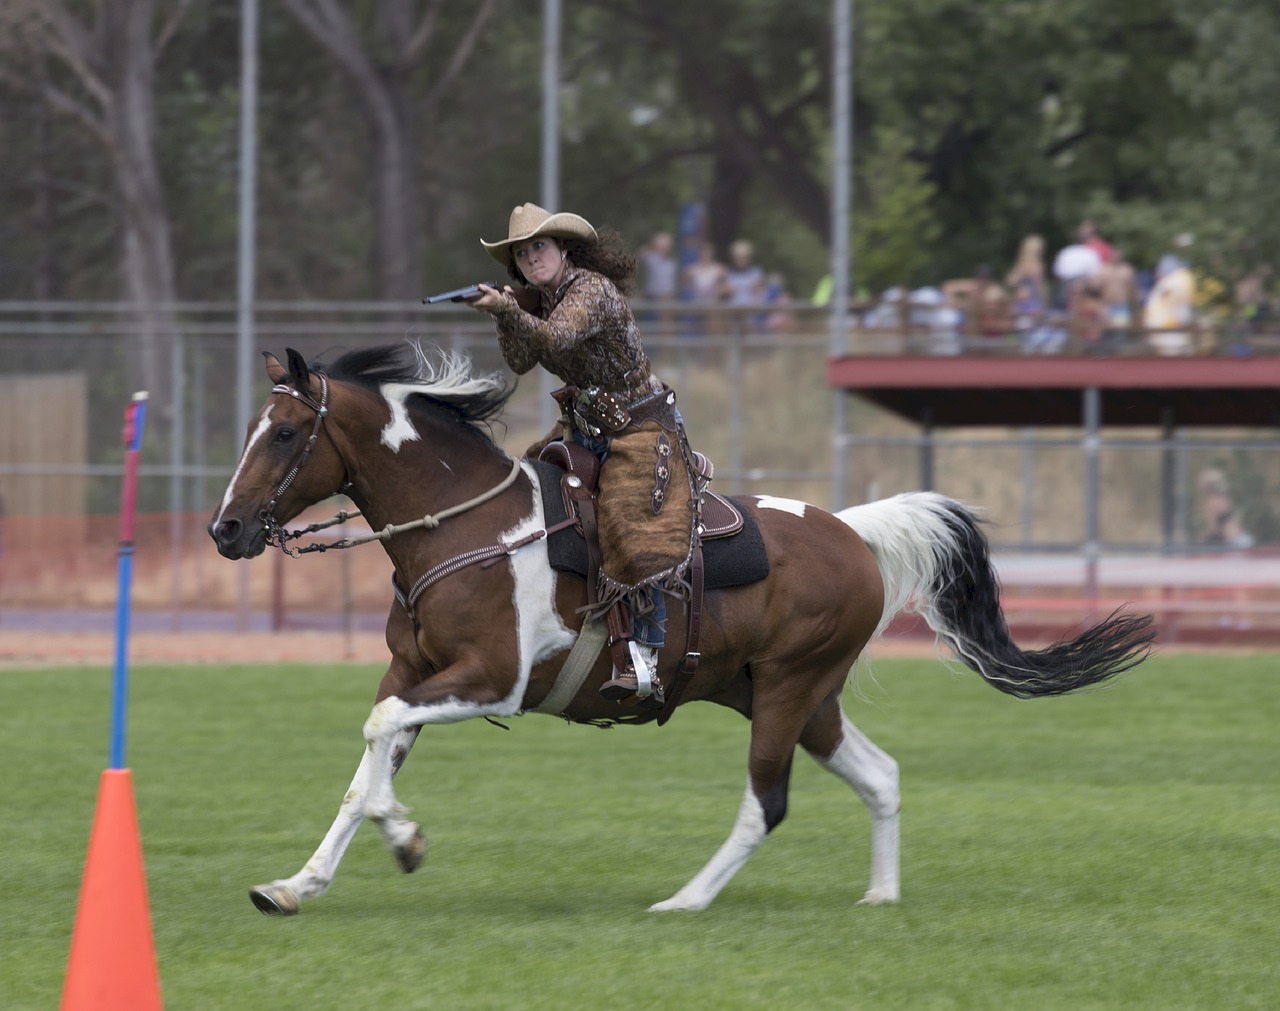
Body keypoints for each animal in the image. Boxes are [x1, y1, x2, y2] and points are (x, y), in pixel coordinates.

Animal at [207, 342, 1152, 916]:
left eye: (283, 431)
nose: (225, 528)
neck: (468, 523)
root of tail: (855, 531)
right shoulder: (412, 676)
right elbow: (365, 768)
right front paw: (297, 883)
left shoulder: (488, 678)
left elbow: (375, 744)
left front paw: (404, 840)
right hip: (796, 697)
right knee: (879, 776)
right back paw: (879, 897)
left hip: (787, 692)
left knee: (766, 802)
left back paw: (686, 899)